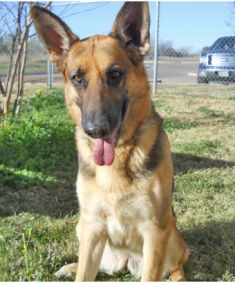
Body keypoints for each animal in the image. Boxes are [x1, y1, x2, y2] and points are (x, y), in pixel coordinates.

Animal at [31, 2, 189, 282]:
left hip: (170, 240)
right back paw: (68, 267)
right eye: (77, 78)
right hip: (82, 228)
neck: (119, 159)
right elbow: (84, 274)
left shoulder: (154, 232)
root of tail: (126, 261)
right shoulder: (92, 228)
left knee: (178, 264)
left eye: (115, 74)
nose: (96, 130)